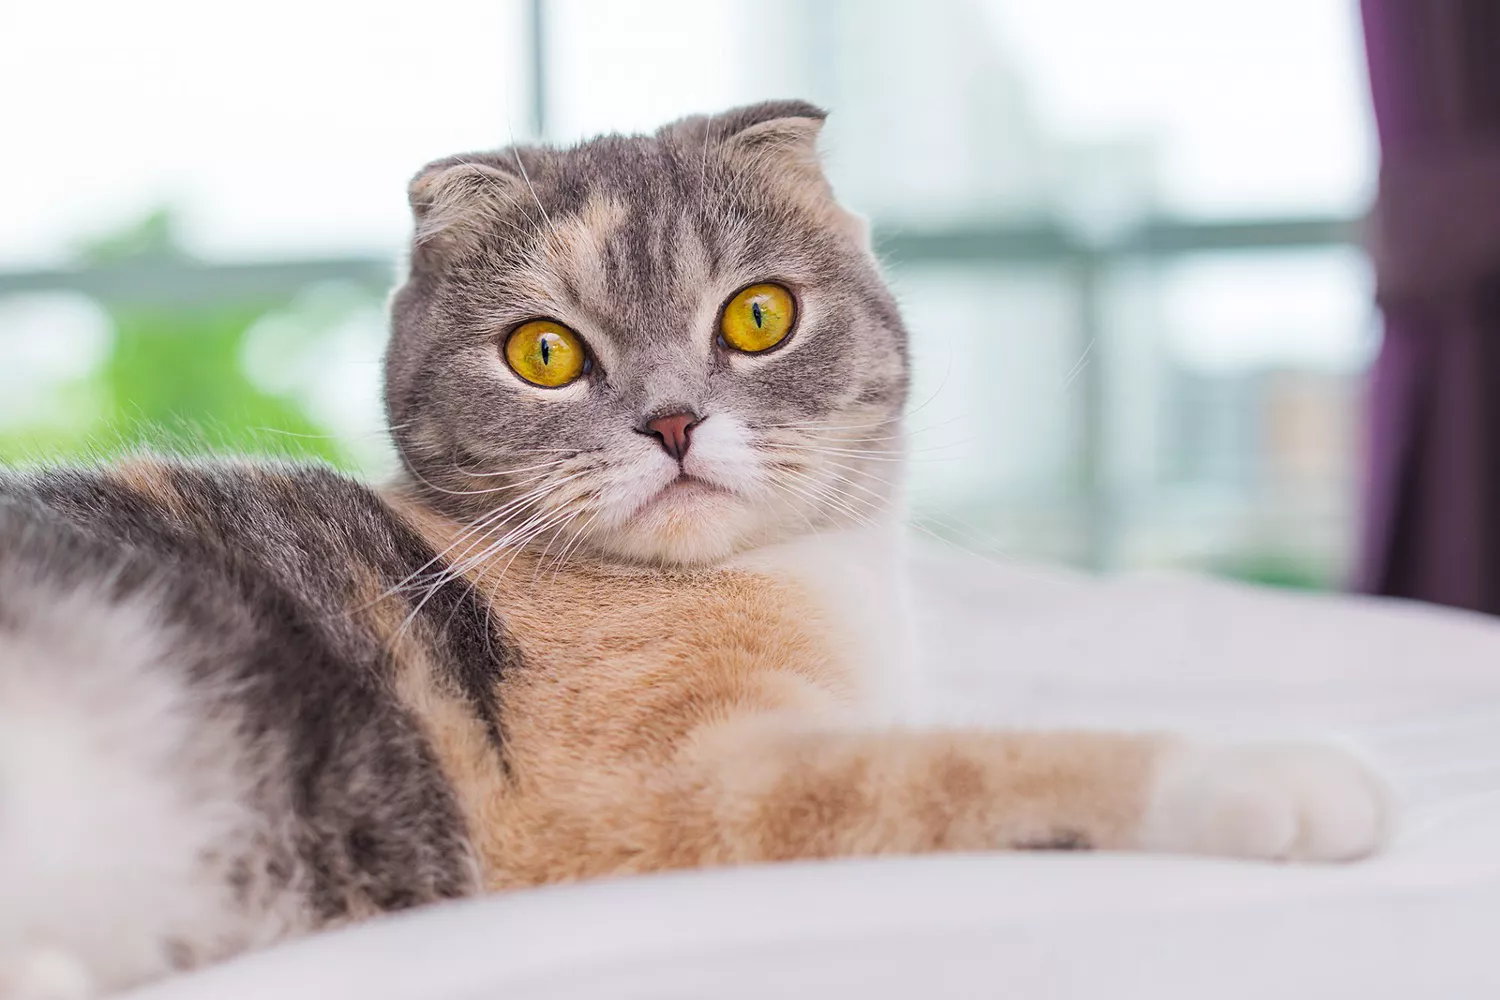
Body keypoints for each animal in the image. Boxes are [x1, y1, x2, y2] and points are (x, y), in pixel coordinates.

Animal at [0, 103, 1380, 1000]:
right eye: (544, 351)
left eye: (759, 316)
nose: (670, 421)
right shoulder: (682, 788)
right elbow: (992, 761)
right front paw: (1270, 773)